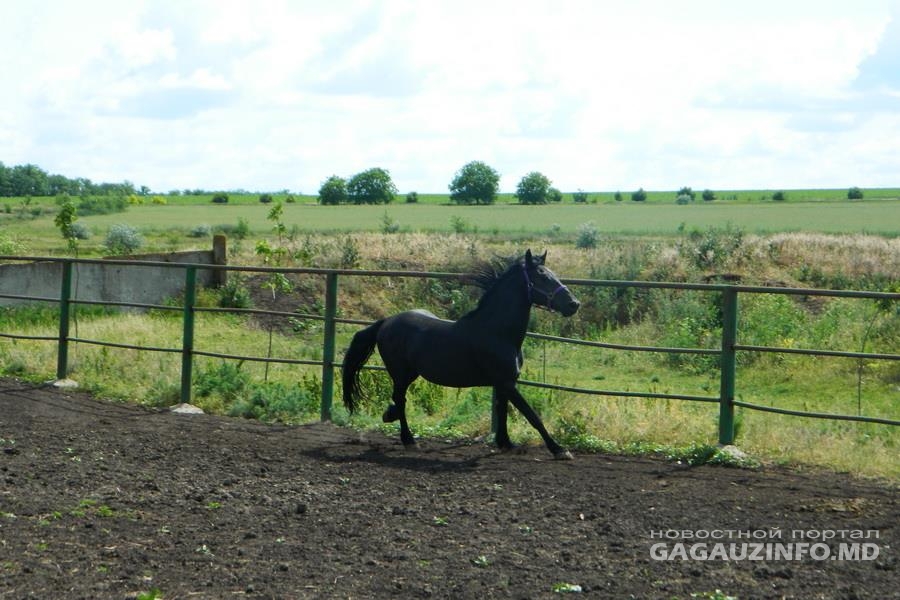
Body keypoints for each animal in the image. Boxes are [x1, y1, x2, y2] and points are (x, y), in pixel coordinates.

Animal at [342, 250, 580, 459]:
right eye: (543, 277)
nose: (574, 304)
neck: (497, 332)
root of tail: (386, 322)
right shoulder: (507, 382)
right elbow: (532, 416)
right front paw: (560, 450)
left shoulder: (504, 383)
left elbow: (502, 411)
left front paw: (505, 443)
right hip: (401, 374)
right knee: (399, 399)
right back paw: (409, 440)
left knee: (397, 400)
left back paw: (390, 417)